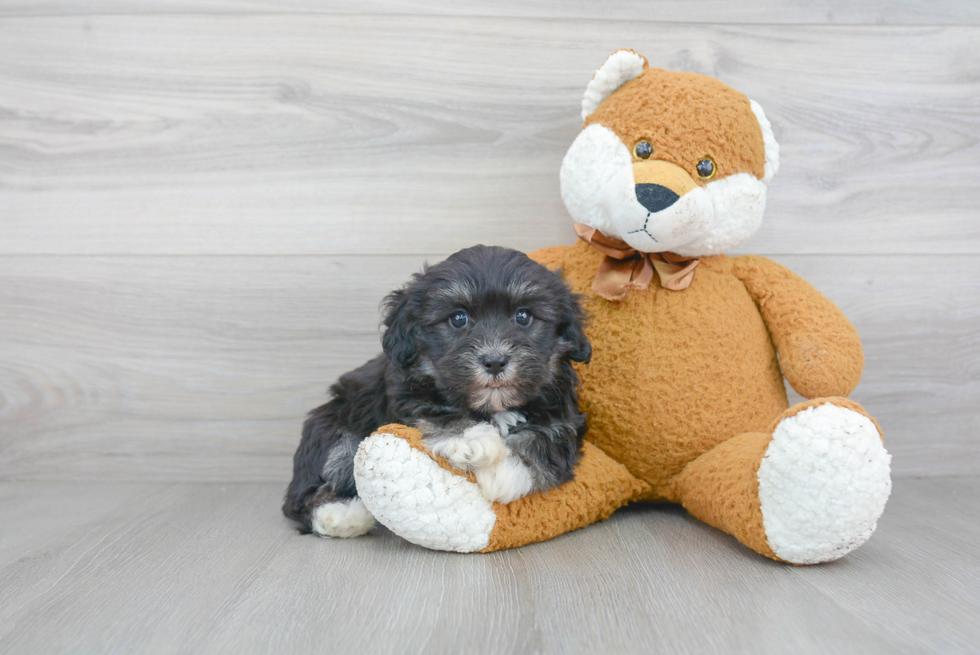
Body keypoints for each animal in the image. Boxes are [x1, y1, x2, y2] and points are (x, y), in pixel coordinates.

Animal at [280, 246, 592, 540]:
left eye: (524, 316)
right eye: (458, 319)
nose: (494, 361)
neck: (492, 407)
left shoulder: (564, 415)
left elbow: (548, 439)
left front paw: (505, 470)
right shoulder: (407, 394)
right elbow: (434, 410)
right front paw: (472, 440)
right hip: (334, 424)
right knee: (312, 487)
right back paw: (341, 515)